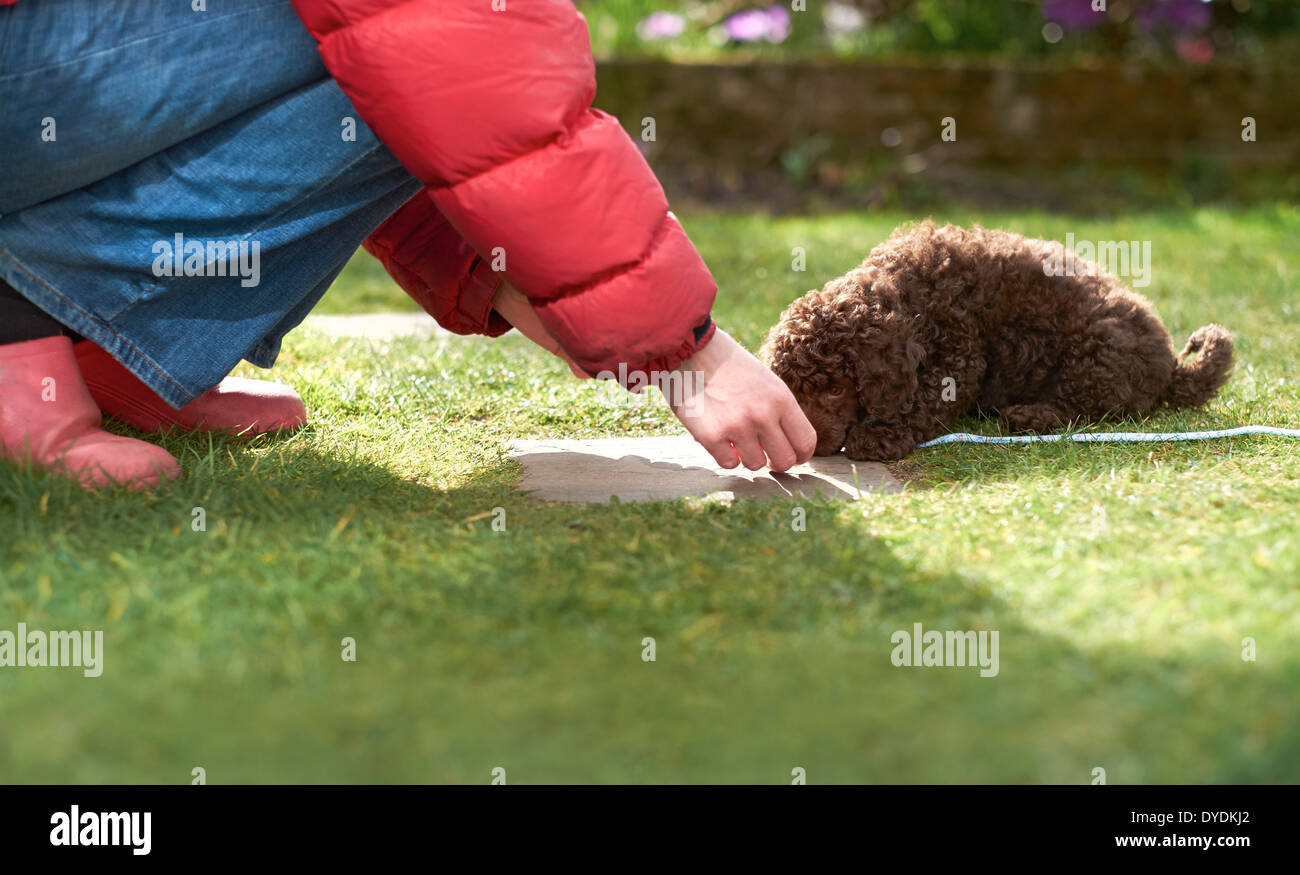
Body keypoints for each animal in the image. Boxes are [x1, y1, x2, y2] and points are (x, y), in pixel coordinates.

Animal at [764, 218, 1232, 460]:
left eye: (836, 390)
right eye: (795, 392)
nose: (814, 448)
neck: (910, 293)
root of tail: (1172, 367)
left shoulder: (959, 358)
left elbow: (923, 401)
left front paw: (877, 437)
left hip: (1096, 350)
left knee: (1085, 410)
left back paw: (1027, 416)